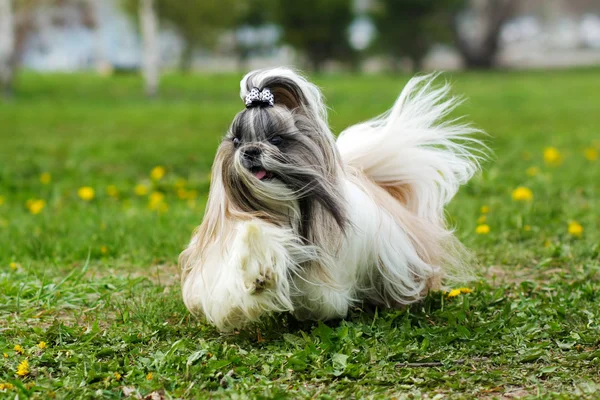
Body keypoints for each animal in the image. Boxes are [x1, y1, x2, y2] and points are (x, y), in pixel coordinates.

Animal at [178, 68, 482, 332]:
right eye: (237, 141)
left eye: (277, 139)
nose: (250, 151)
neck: (282, 209)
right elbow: (250, 244)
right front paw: (259, 275)